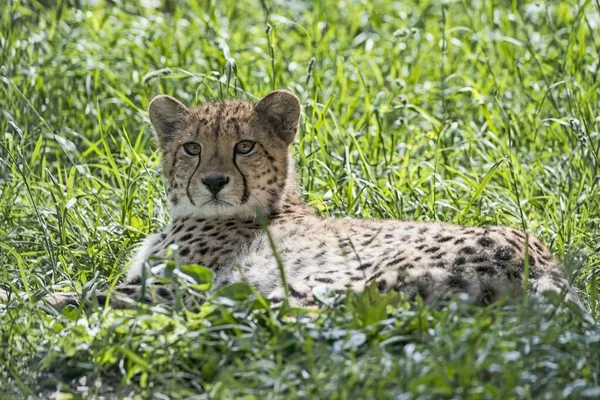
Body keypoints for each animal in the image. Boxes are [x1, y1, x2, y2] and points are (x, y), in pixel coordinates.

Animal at [1, 90, 580, 310]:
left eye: (244, 146)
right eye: (191, 147)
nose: (214, 182)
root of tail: (547, 264)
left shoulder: (177, 285)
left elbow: (87, 291)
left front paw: (32, 301)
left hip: (331, 279)